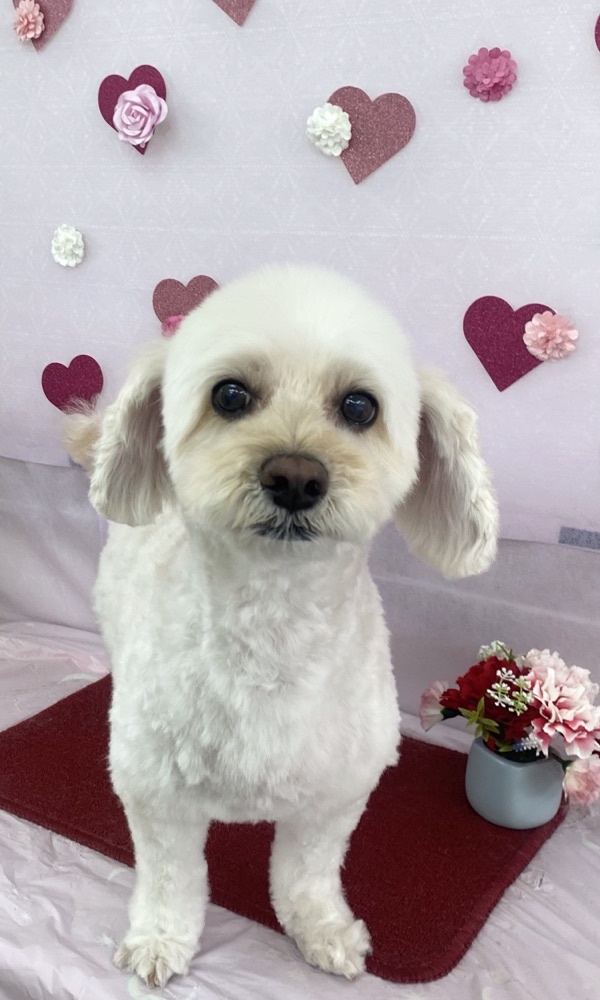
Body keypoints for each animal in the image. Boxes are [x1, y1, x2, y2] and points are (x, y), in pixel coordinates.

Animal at [65, 264, 498, 988]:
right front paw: (159, 940)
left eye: (360, 407)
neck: (273, 622)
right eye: (230, 394)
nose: (295, 475)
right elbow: (170, 879)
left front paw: (322, 930)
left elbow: (307, 874)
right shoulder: (158, 796)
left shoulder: (337, 794)